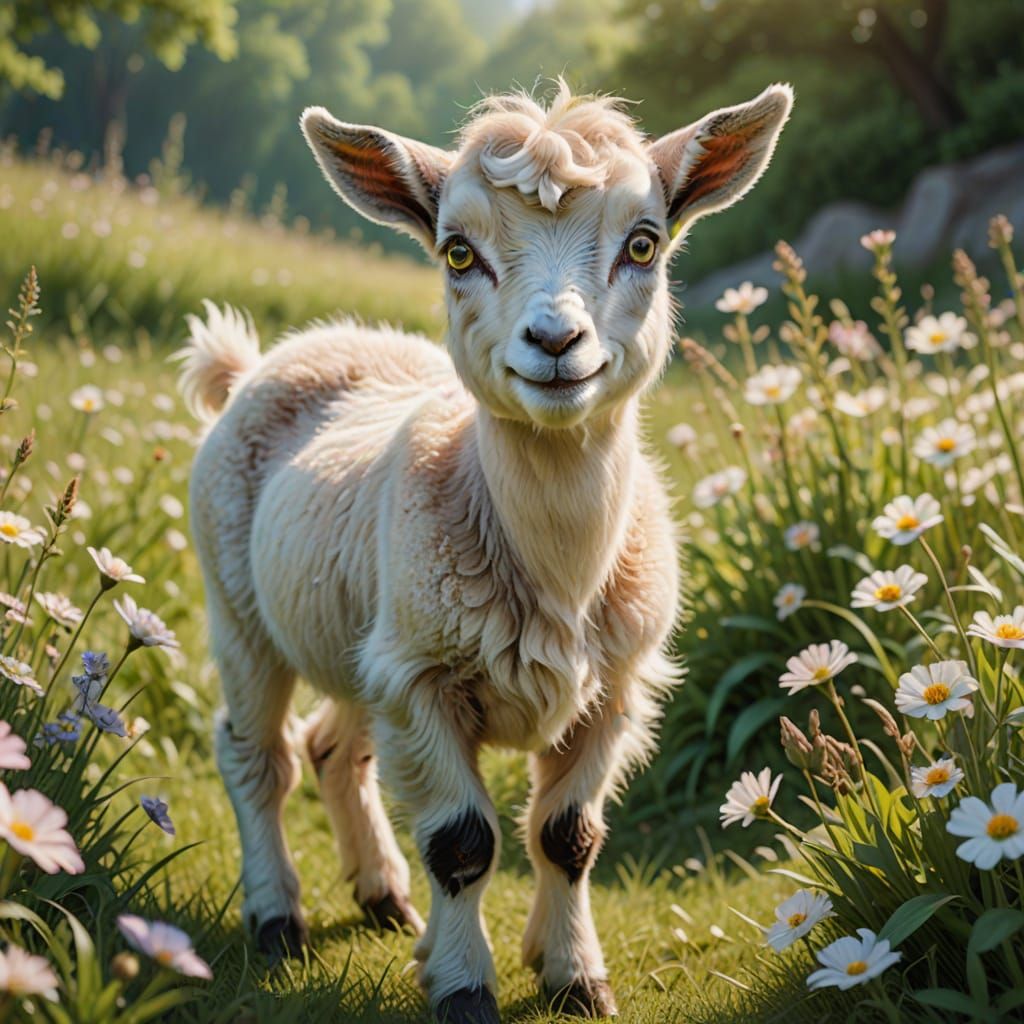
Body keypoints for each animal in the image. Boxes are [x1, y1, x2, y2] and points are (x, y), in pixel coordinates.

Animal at [178, 80, 791, 1023]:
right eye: (458, 253)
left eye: (644, 243)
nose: (556, 343)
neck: (558, 572)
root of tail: (262, 362)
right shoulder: (426, 679)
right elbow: (462, 844)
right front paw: (466, 986)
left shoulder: (611, 686)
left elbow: (568, 836)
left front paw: (573, 976)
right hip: (241, 608)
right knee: (256, 758)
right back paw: (277, 918)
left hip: (367, 631)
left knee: (333, 748)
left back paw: (383, 897)